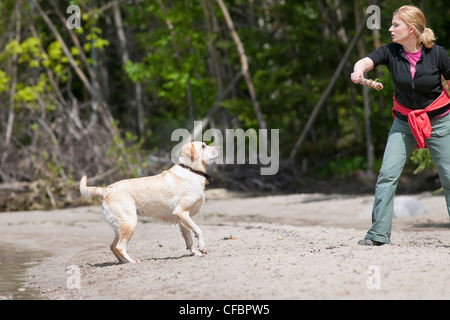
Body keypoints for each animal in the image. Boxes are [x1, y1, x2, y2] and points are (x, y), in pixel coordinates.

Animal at [81, 142, 222, 262]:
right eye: (203, 146)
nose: (220, 147)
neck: (190, 170)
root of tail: (106, 190)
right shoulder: (181, 213)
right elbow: (198, 230)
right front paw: (202, 247)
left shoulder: (183, 220)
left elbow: (189, 240)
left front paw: (196, 253)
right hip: (130, 223)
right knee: (119, 247)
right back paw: (133, 261)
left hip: (120, 226)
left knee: (112, 246)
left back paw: (124, 262)